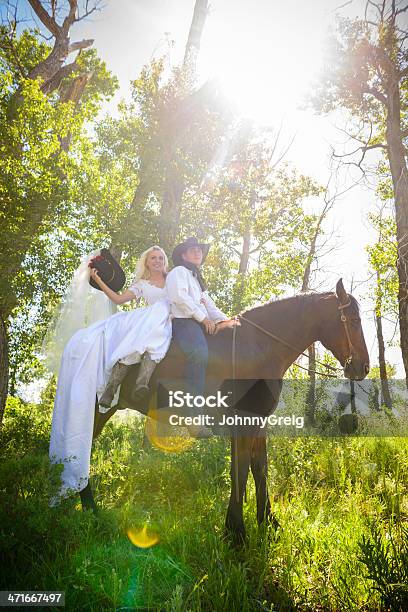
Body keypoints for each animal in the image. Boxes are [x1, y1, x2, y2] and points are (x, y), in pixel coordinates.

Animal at [88, 278, 370, 540]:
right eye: (354, 319)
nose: (364, 367)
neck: (258, 348)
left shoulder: (258, 422)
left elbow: (259, 468)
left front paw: (267, 523)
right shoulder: (243, 423)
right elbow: (242, 470)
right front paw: (236, 533)